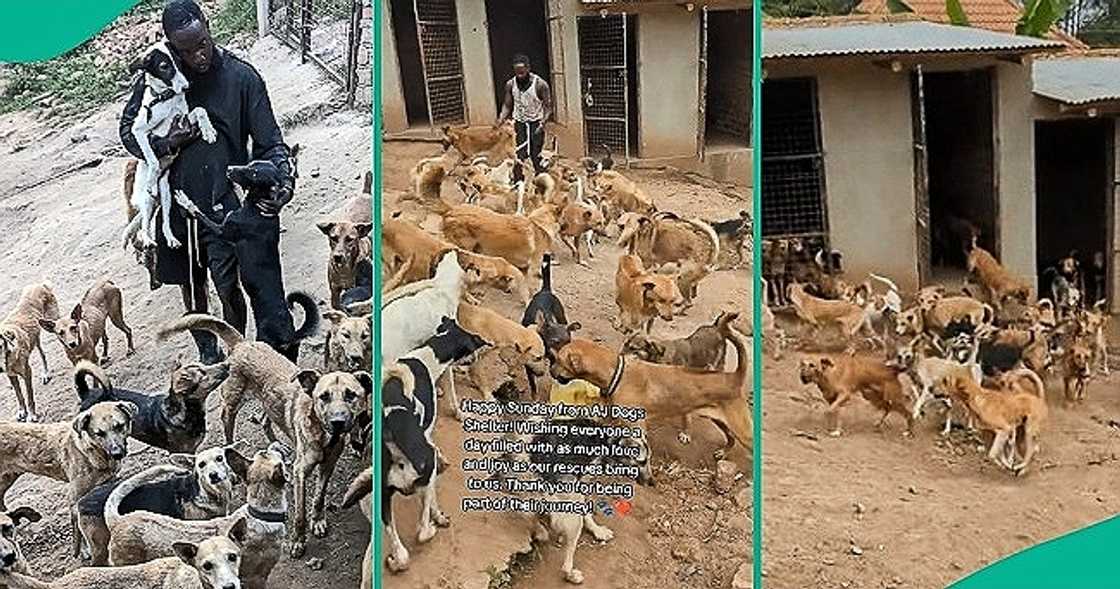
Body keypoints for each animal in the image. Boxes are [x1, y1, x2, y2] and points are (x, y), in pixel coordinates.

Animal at [0, 284, 59, 423]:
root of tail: (40, 284)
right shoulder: (11, 376)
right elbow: (19, 396)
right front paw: (22, 411)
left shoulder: (27, 372)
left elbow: (29, 396)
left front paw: (32, 415)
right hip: (36, 335)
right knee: (43, 354)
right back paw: (45, 374)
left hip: (54, 321)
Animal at [77, 447, 248, 568]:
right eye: (201, 465)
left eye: (220, 458)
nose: (213, 475)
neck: (210, 493)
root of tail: (82, 501)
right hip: (101, 548)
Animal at [123, 40, 218, 254]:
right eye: (164, 67)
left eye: (178, 61)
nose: (186, 87)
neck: (165, 99)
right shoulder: (139, 131)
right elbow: (152, 158)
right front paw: (152, 175)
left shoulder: (184, 119)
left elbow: (200, 110)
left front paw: (208, 131)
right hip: (146, 200)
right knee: (144, 225)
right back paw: (148, 239)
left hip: (166, 194)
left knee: (165, 221)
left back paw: (171, 239)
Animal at [383, 318, 488, 573]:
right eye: (471, 344)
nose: (477, 358)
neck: (428, 354)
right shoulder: (428, 436)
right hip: (424, 469)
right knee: (421, 530)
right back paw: (433, 524)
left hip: (384, 497)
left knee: (402, 552)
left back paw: (395, 561)